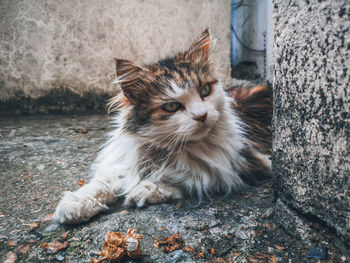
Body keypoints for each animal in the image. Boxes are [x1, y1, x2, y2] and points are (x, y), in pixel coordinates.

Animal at [54, 29, 274, 225]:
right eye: (171, 106)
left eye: (205, 90)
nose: (202, 115)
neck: (163, 148)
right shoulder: (124, 162)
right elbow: (104, 182)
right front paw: (76, 204)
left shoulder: (246, 163)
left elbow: (188, 177)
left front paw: (146, 188)